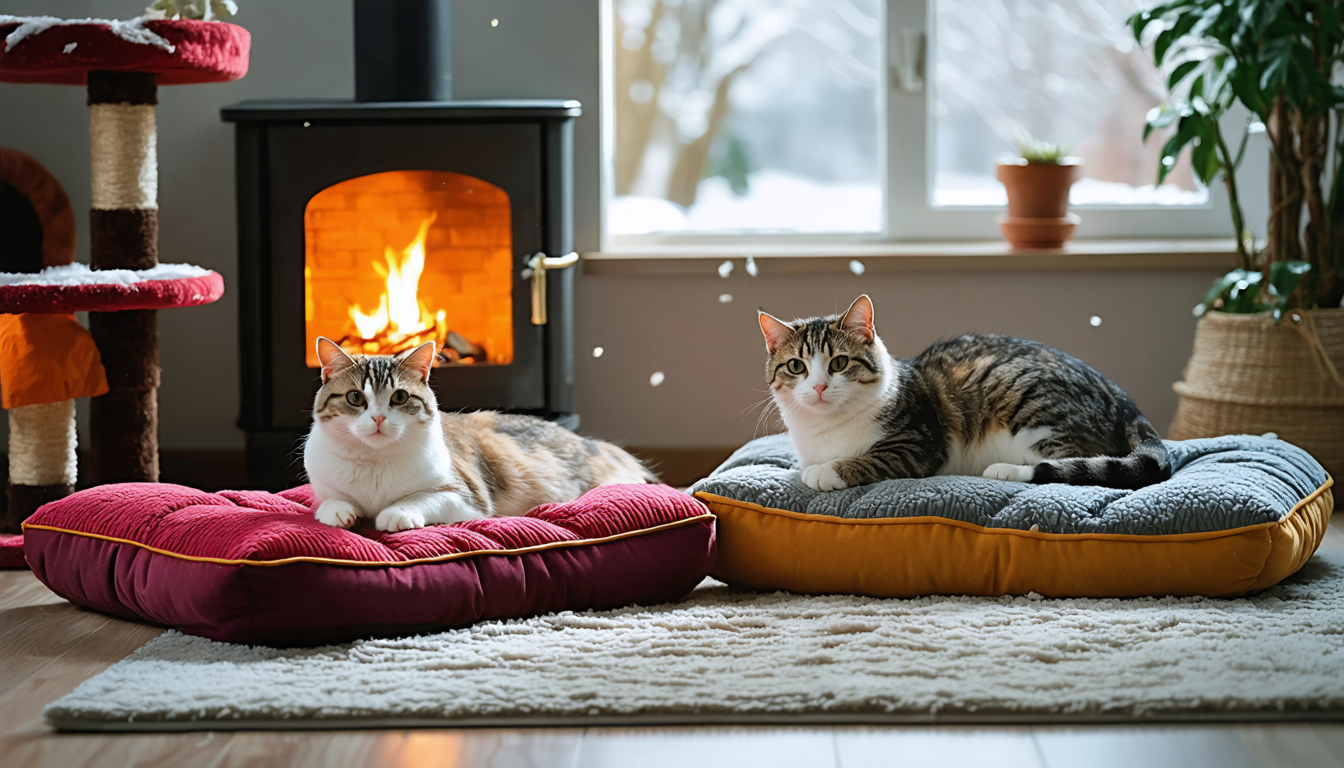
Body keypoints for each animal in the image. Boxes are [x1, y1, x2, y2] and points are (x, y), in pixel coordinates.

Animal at [306, 338, 661, 532]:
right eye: (355, 397)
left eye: (400, 398)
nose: (378, 418)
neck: (374, 462)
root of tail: (593, 444)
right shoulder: (323, 486)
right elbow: (329, 502)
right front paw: (339, 512)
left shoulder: (466, 497)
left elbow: (416, 499)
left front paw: (395, 514)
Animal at [763, 294, 1171, 492]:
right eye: (796, 367)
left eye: (839, 363)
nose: (818, 386)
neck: (826, 430)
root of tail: (1125, 402)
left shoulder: (919, 443)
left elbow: (874, 458)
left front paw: (827, 471)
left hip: (1034, 405)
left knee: (1071, 467)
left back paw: (1007, 471)